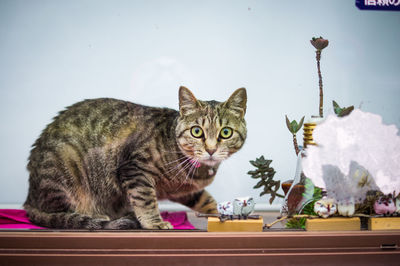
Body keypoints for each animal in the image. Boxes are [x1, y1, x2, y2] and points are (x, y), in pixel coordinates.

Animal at [24, 87, 247, 229]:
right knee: (60, 213)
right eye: (197, 131)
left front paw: (221, 214)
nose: (211, 149)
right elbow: (145, 199)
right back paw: (97, 215)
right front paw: (154, 222)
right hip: (65, 166)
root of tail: (29, 198)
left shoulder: (183, 190)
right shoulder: (135, 169)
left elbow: (205, 198)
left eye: (226, 132)